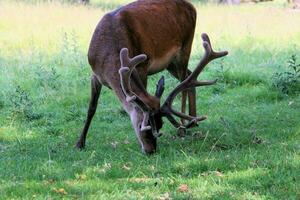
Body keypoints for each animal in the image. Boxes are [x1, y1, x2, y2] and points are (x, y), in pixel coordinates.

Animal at [75, 0, 227, 154]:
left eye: (160, 125)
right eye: (143, 126)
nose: (151, 150)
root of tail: (191, 5)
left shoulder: (142, 65)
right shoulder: (95, 74)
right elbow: (91, 108)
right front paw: (80, 143)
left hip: (185, 47)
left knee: (184, 81)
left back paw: (183, 128)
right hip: (170, 63)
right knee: (190, 76)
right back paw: (193, 120)